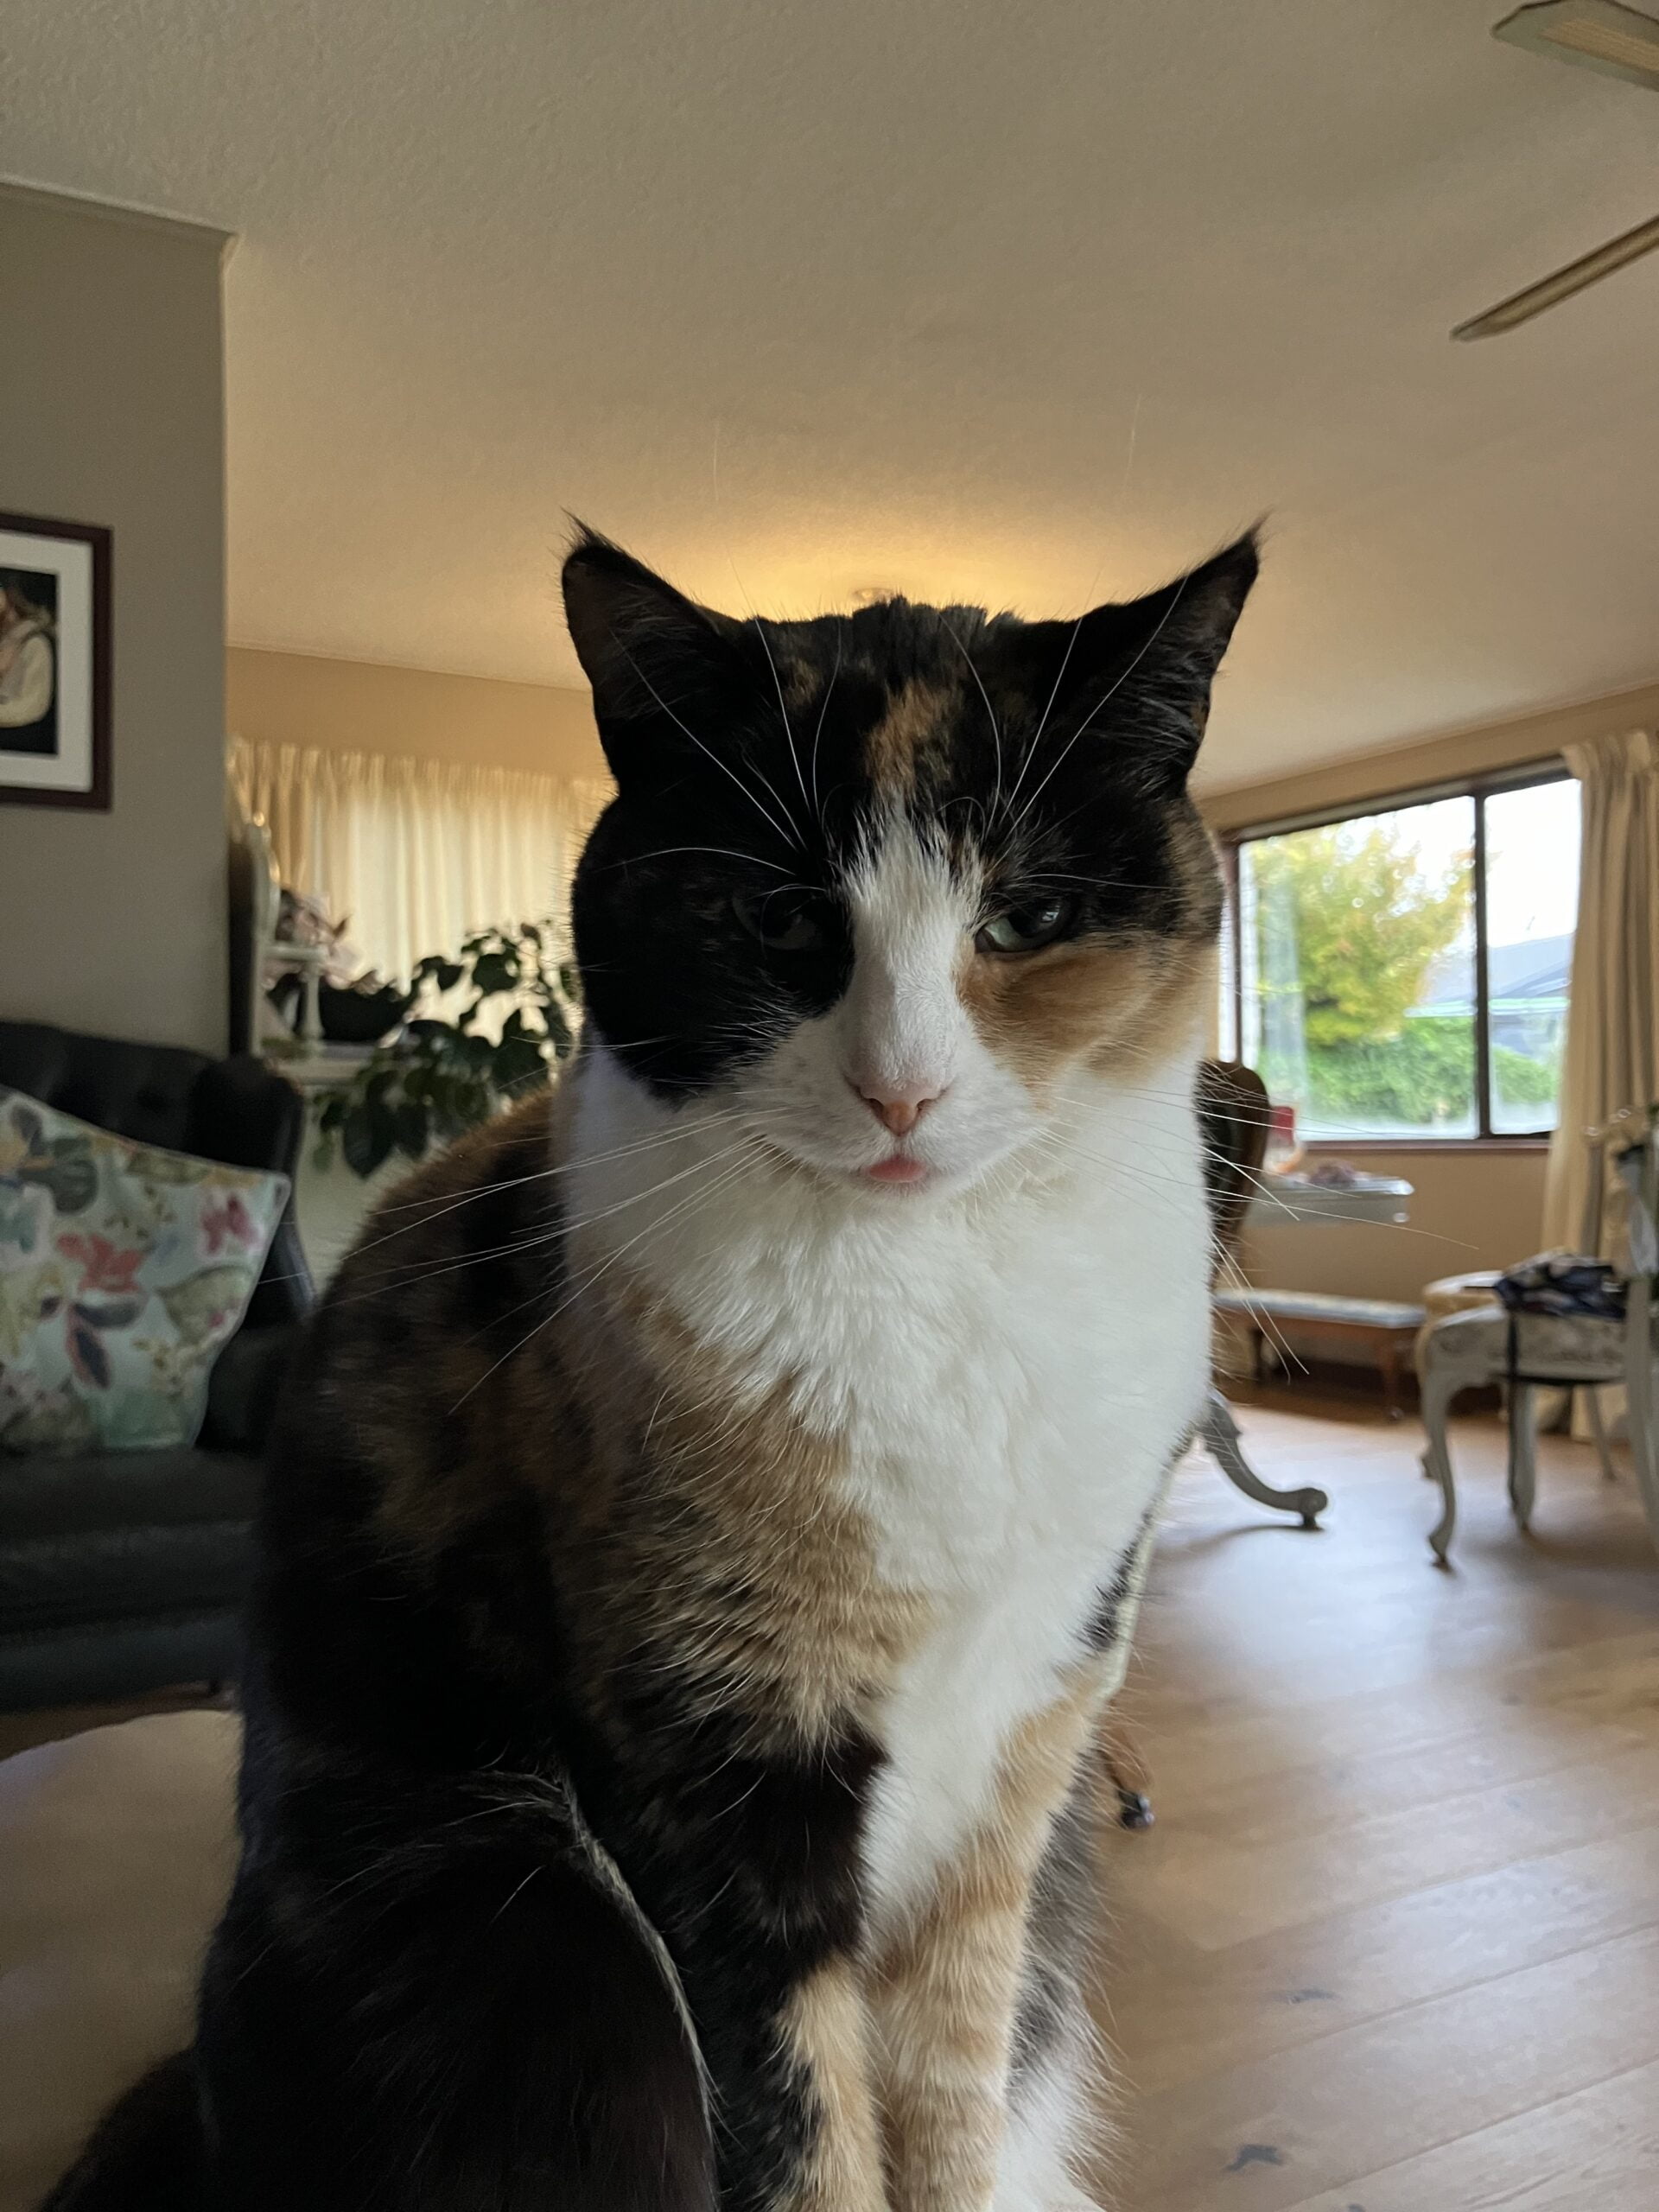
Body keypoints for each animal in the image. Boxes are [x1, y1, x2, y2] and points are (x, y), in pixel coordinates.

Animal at [41, 522, 1256, 2212]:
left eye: (1024, 918)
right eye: (780, 923)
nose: (901, 1092)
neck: (940, 1296)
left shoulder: (1028, 1749)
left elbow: (951, 2096)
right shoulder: (713, 1764)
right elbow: (800, 2129)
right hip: (533, 1931)